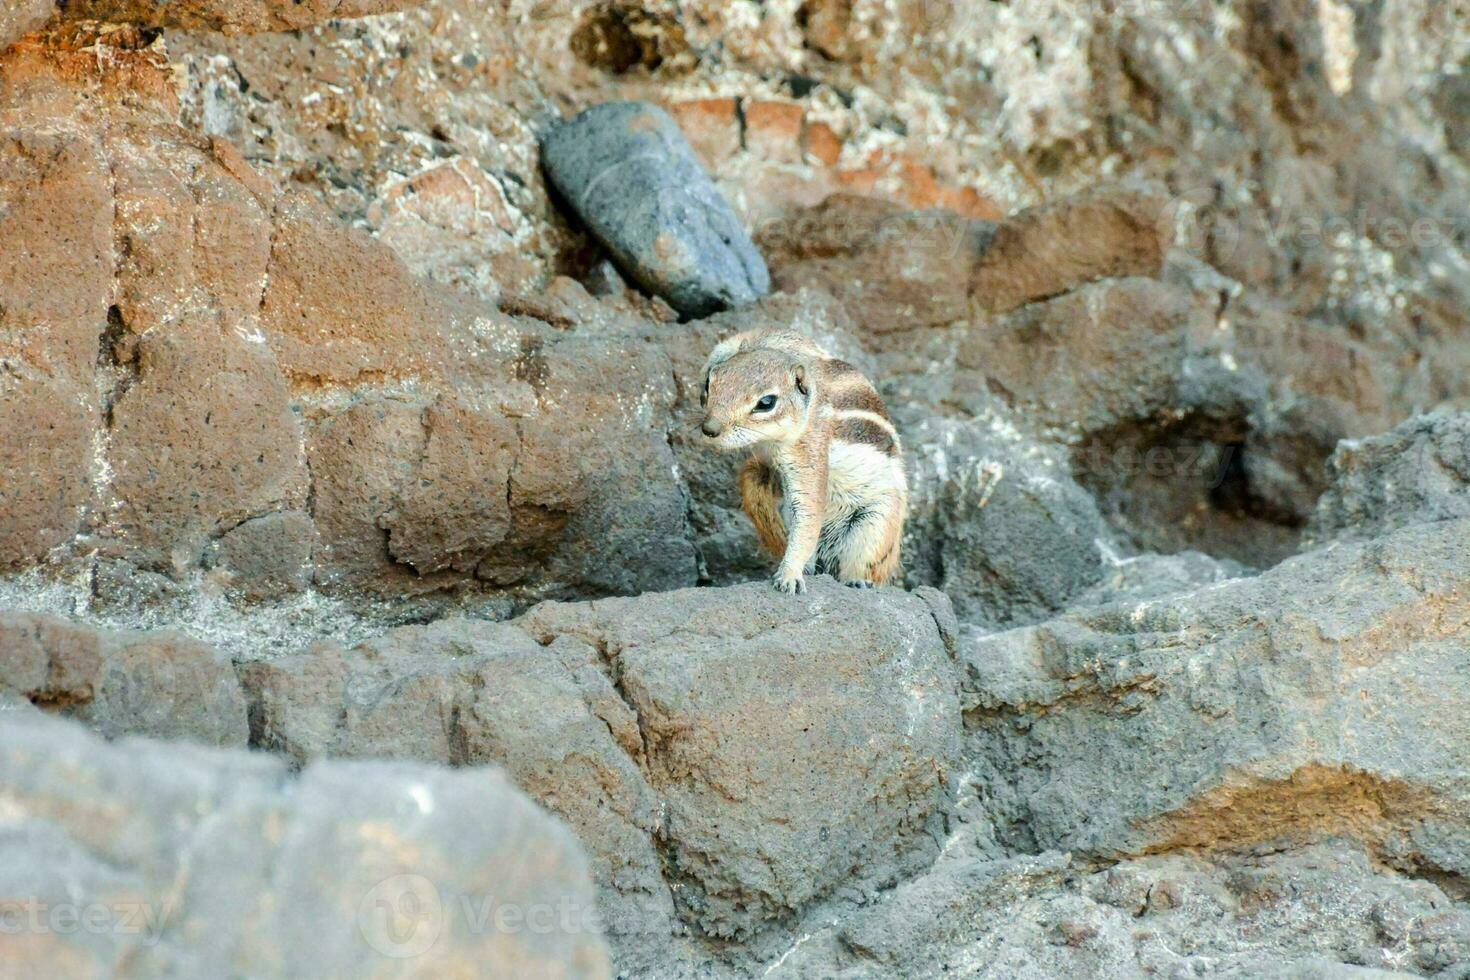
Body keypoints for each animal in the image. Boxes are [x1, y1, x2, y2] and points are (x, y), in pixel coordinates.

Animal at [699, 329, 905, 593]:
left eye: (766, 403)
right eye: (709, 384)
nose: (709, 429)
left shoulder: (810, 449)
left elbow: (808, 513)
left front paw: (789, 574)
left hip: (877, 522)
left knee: (863, 561)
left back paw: (857, 581)